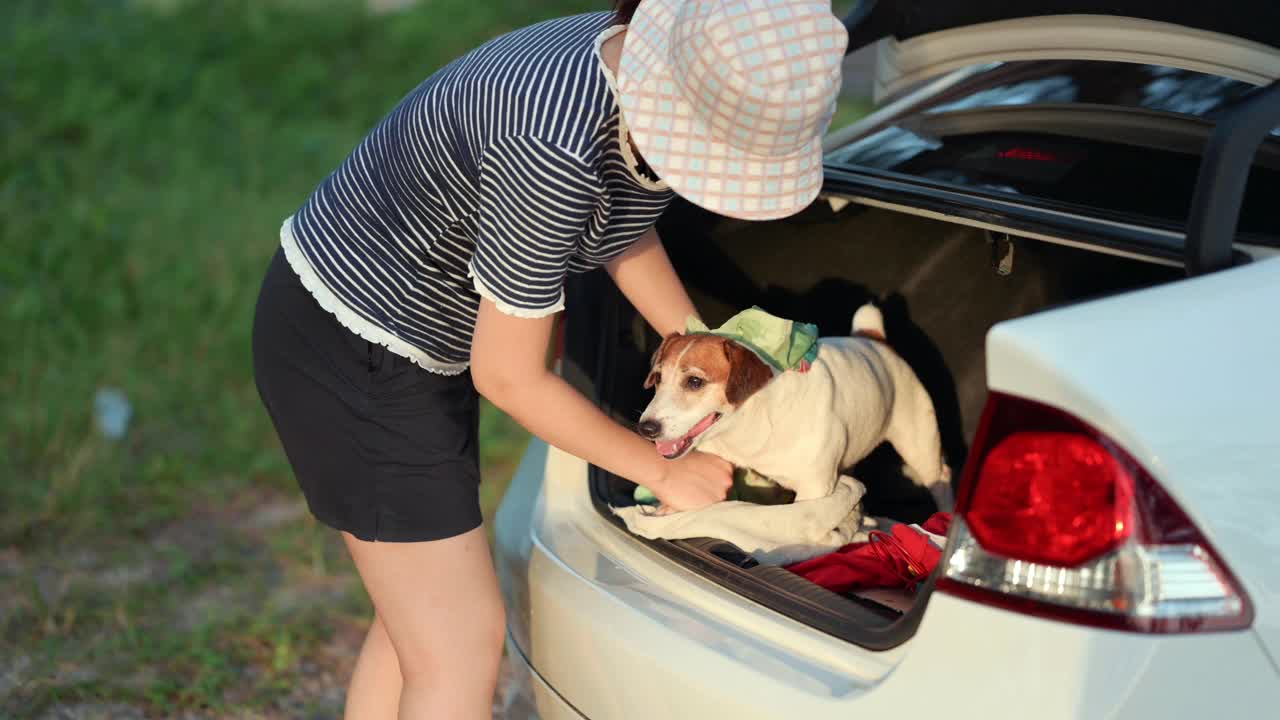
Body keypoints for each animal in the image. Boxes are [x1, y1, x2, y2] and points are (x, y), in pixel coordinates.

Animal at [609, 302, 952, 561]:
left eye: (694, 382)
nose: (646, 427)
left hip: (919, 444)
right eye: (657, 378)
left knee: (941, 476)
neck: (752, 421)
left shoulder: (815, 490)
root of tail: (873, 339)